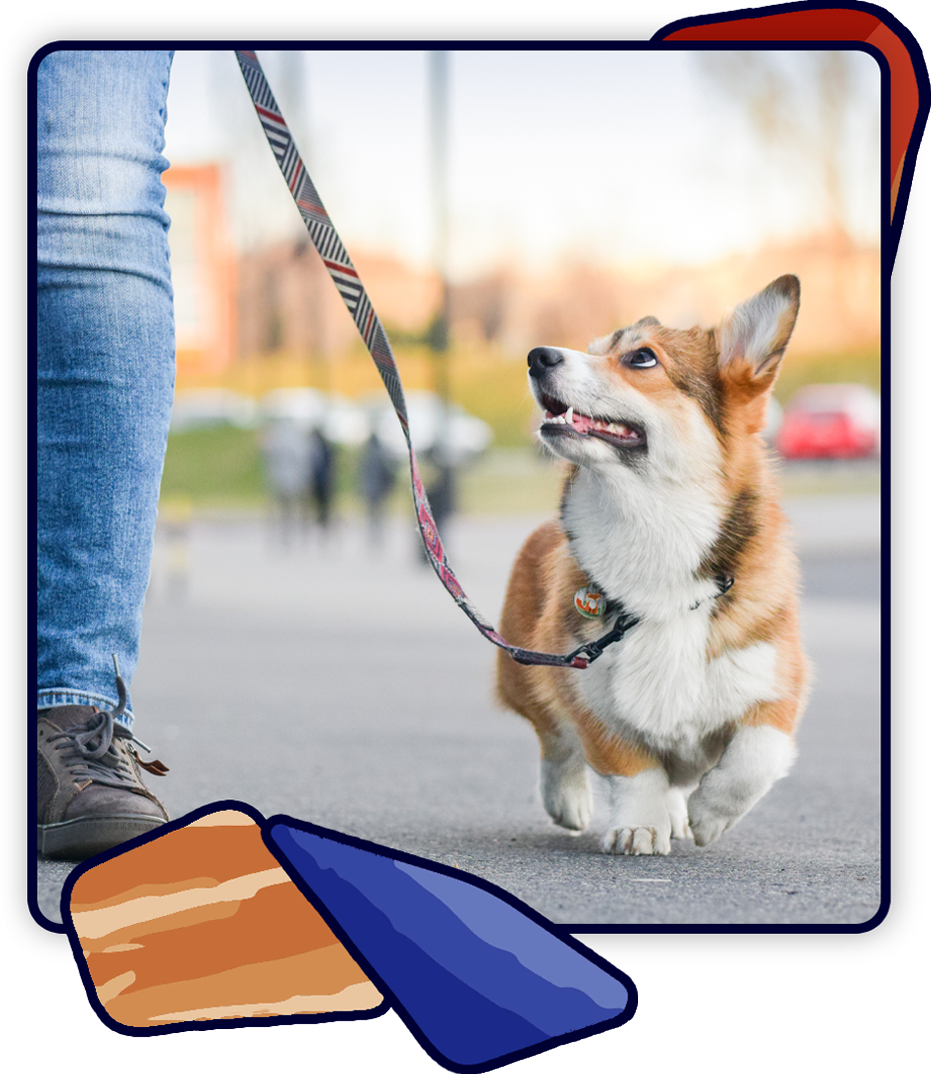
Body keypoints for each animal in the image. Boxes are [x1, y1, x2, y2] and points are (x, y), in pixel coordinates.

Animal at [496, 277, 807, 854]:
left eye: (641, 357)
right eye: (593, 349)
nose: (537, 355)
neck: (654, 530)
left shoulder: (777, 682)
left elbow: (756, 756)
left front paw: (709, 814)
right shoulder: (586, 689)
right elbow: (632, 768)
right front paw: (638, 825)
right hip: (525, 670)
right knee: (555, 740)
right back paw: (568, 800)